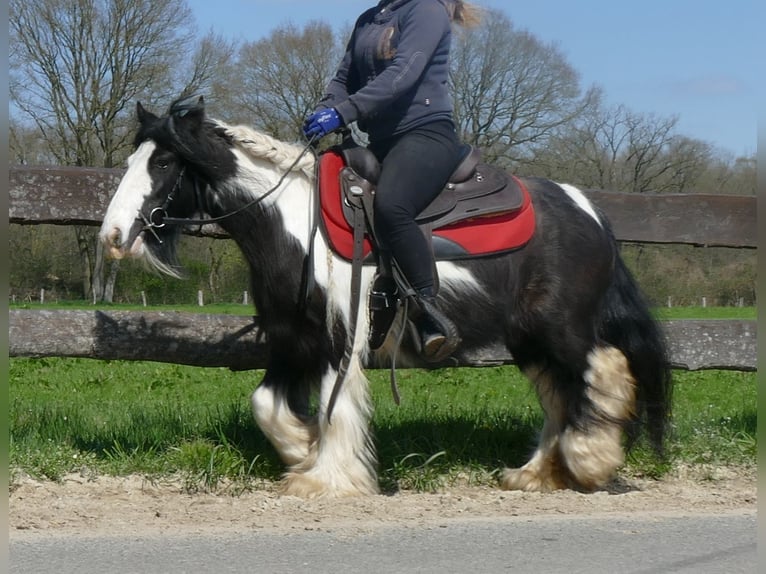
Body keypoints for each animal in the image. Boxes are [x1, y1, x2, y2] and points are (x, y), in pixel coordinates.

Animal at [100, 98, 672, 500]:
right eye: (133, 158)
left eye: (165, 163)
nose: (112, 235)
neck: (296, 224)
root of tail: (588, 211)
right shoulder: (291, 338)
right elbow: (267, 405)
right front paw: (303, 450)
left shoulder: (340, 337)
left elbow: (335, 406)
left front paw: (326, 478)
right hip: (530, 340)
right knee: (561, 395)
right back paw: (536, 474)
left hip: (562, 328)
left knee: (604, 369)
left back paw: (591, 457)